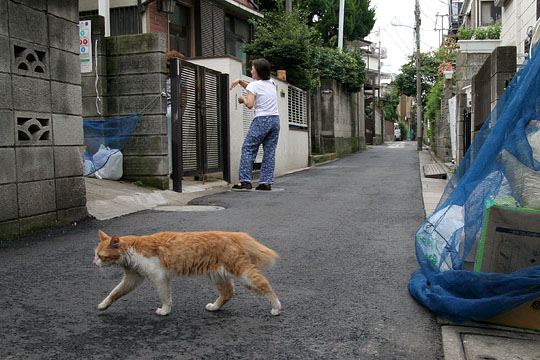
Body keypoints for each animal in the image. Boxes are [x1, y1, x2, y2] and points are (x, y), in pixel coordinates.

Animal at [93, 229, 280, 316]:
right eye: (95, 254)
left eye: (100, 256)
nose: (94, 262)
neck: (132, 249)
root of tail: (233, 234)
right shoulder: (132, 278)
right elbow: (115, 292)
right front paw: (103, 305)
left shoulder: (160, 277)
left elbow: (165, 296)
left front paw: (165, 310)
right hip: (218, 275)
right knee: (228, 292)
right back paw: (215, 306)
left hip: (243, 273)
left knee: (264, 284)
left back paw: (276, 307)